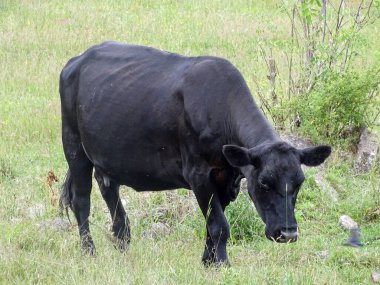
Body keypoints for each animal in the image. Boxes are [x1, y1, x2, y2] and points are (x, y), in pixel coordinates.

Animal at [58, 41, 330, 266]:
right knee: (81, 200)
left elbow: (213, 224)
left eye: (299, 183)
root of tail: (77, 60)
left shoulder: (226, 179)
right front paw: (222, 265)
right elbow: (219, 225)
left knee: (108, 188)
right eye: (264, 183)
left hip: (107, 154)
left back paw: (123, 242)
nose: (288, 233)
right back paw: (89, 251)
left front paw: (208, 261)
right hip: (73, 145)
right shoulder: (199, 175)